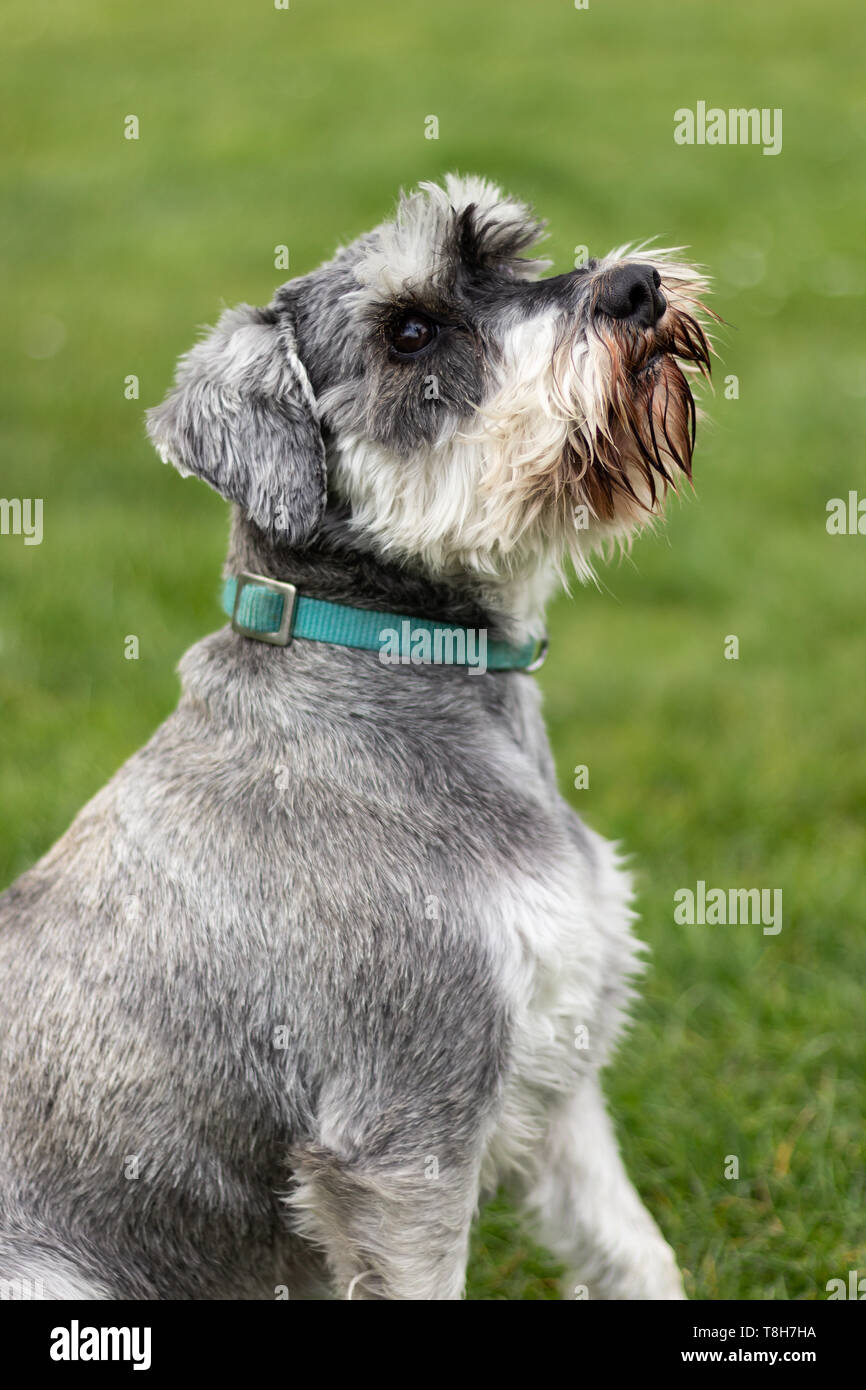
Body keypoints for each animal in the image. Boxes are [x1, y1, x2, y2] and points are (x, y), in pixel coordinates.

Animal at [0, 176, 711, 1301]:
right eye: (409, 331)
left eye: (513, 255)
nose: (634, 288)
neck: (378, 648)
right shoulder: (403, 1140)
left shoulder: (560, 1077)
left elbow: (630, 1249)